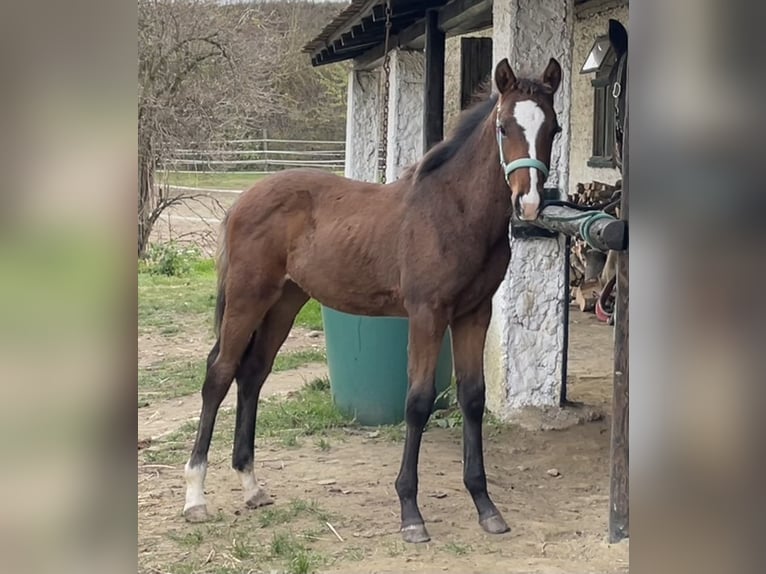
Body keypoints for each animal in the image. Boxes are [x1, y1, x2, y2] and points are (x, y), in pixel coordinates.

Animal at [180, 57, 564, 544]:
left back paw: (251, 485)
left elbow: (473, 398)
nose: (528, 203)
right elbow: (417, 402)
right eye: (503, 126)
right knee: (219, 373)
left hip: (285, 301)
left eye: (553, 127)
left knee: (253, 374)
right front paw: (411, 513)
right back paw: (195, 497)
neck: (453, 213)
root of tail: (243, 200)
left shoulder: (475, 313)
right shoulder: (427, 314)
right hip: (249, 297)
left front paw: (485, 506)